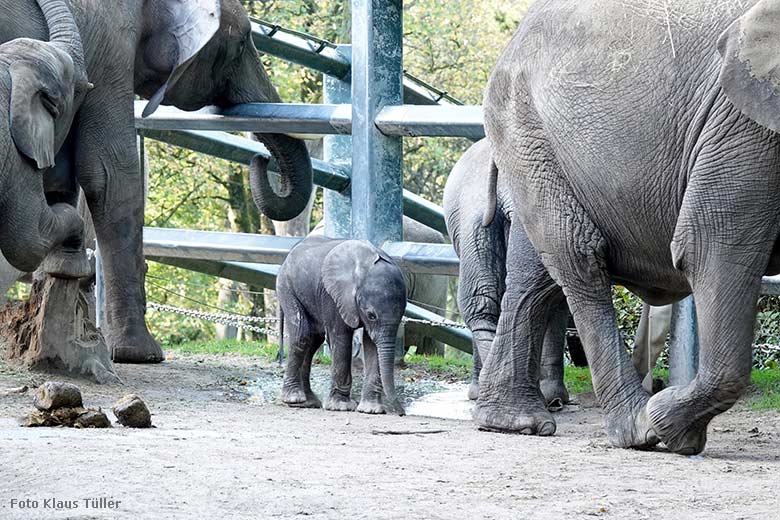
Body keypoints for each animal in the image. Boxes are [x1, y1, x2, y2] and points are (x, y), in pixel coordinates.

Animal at [0, 0, 314, 364]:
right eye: (240, 43)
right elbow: (110, 173)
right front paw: (141, 354)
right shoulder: (111, 52)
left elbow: (64, 170)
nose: (261, 158)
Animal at [276, 237, 408, 414]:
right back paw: (294, 399)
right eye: (371, 315)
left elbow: (372, 345)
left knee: (313, 339)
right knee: (301, 336)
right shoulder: (333, 295)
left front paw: (371, 410)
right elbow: (341, 338)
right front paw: (341, 406)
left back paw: (309, 402)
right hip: (286, 287)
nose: (401, 414)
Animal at [482, 0, 780, 456]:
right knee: (580, 257)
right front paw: (673, 430)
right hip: (525, 129)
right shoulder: (744, 126)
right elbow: (712, 247)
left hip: (537, 147)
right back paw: (640, 428)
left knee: (536, 275)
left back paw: (513, 422)